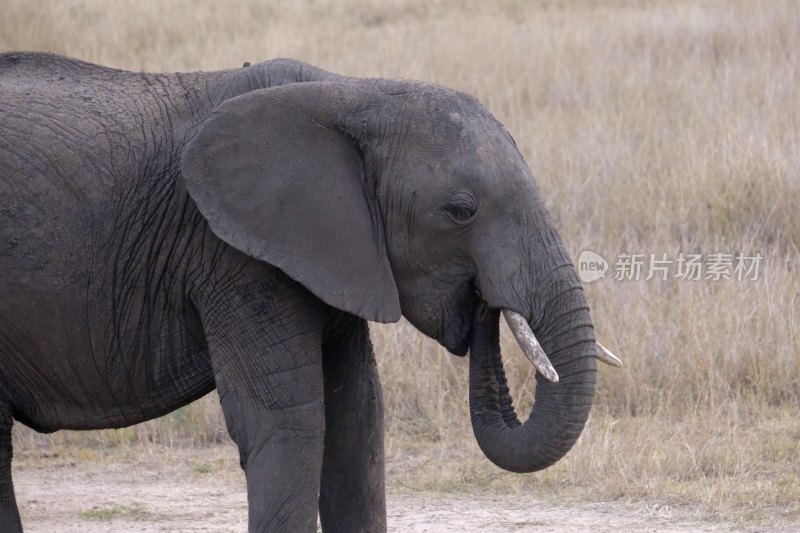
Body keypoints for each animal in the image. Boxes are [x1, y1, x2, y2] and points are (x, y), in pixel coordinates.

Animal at [0, 54, 620, 532]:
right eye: (460, 211)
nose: (485, 304)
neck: (349, 92)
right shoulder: (236, 257)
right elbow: (291, 422)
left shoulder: (334, 255)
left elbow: (357, 419)